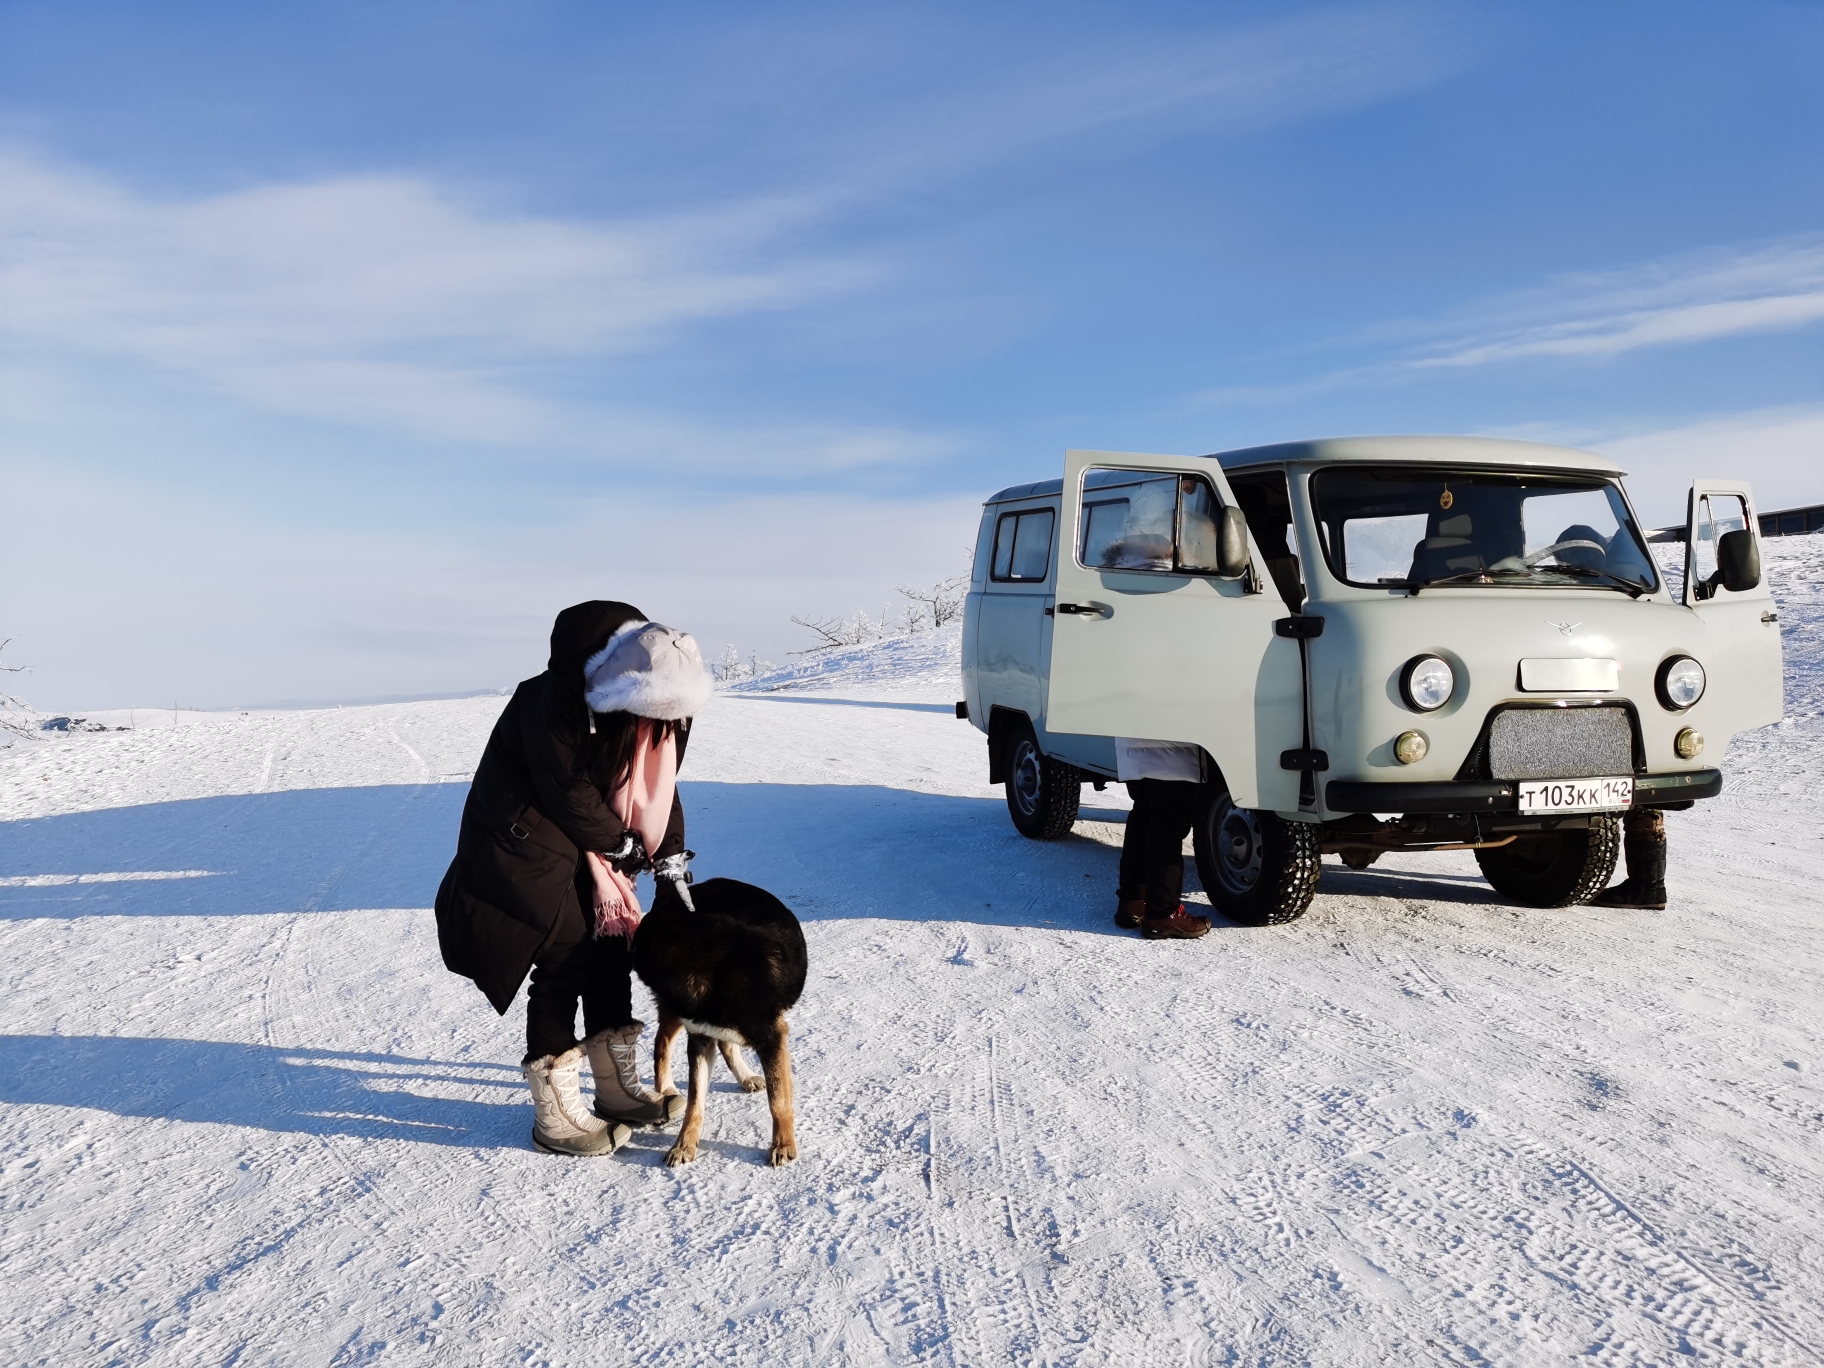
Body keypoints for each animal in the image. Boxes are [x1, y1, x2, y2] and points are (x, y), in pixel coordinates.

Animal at [638, 879, 809, 1167]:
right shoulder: (699, 1040)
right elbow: (695, 1102)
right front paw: (683, 1144)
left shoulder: (773, 1038)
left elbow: (778, 1100)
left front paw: (783, 1144)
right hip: (677, 1013)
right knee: (662, 1045)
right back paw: (666, 1090)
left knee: (722, 1044)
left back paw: (745, 1077)